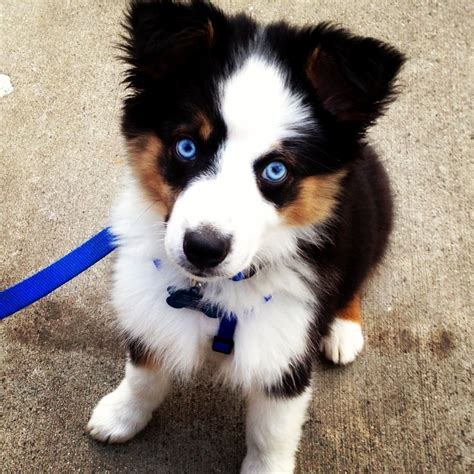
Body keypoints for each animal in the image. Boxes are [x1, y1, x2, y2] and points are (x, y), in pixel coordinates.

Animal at [87, 1, 406, 472]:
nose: (203, 249)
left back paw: (343, 330)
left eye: (275, 170)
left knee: (354, 278)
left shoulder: (284, 351)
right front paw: (121, 415)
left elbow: (271, 434)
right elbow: (143, 371)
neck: (213, 294)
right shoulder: (152, 307)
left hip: (370, 220)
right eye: (186, 146)